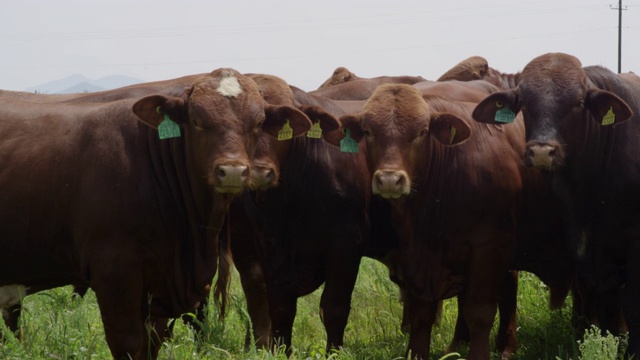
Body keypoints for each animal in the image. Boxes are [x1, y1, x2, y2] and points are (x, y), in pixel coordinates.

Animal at [0, 68, 312, 360]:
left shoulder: (161, 290)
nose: (233, 170)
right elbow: (128, 344)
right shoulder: (114, 275)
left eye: (258, 123)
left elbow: (152, 345)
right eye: (196, 120)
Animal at [330, 83, 552, 358]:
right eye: (368, 132)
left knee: (508, 285)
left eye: (422, 132)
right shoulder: (416, 255)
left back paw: (506, 347)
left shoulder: (488, 246)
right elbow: (421, 315)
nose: (390, 180)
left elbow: (479, 312)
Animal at [470, 52, 640, 358]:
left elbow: (631, 305)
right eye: (524, 102)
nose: (541, 151)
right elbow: (607, 309)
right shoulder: (595, 251)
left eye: (579, 103)